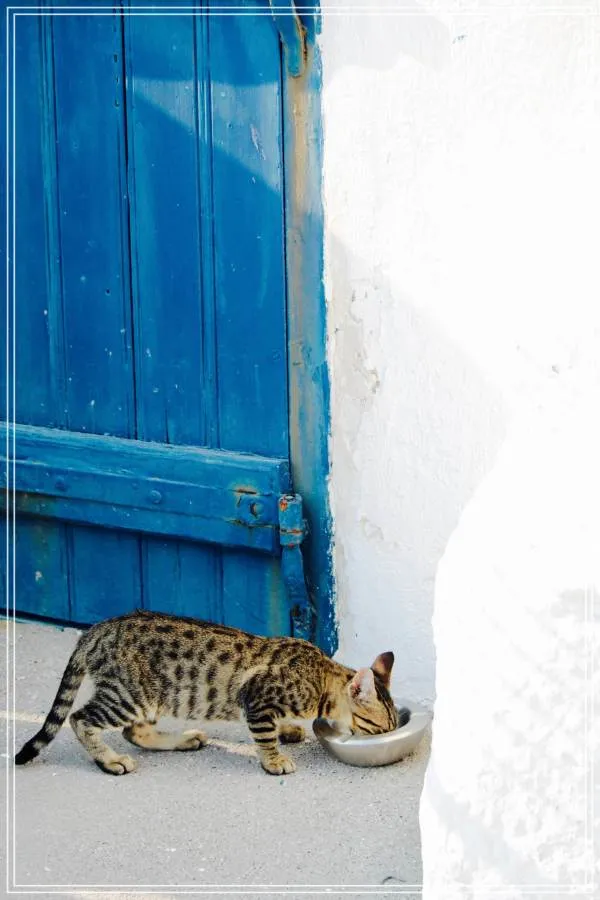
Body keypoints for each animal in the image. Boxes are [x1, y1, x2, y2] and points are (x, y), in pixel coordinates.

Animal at [15, 609, 407, 776]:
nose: (388, 736)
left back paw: (182, 739)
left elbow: (277, 726)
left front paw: (289, 730)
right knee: (81, 719)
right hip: (128, 695)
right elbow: (264, 735)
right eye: (379, 729)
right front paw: (274, 760)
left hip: (151, 696)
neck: (321, 675)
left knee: (135, 731)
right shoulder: (257, 699)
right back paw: (109, 760)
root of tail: (95, 631)